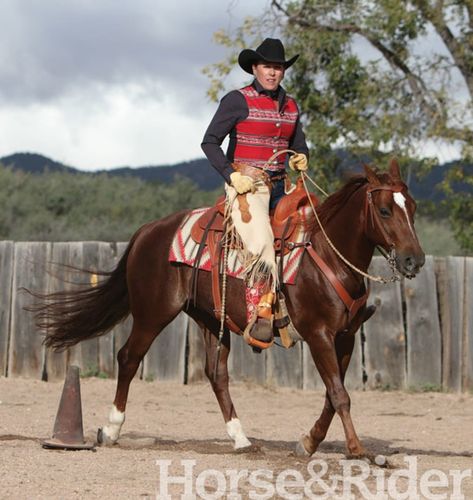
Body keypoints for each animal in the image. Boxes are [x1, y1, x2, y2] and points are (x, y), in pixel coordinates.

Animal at [30, 158, 424, 456]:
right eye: (385, 210)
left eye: (413, 208)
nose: (413, 260)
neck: (326, 253)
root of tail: (149, 230)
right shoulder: (319, 335)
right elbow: (340, 395)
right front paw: (358, 450)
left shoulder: (344, 337)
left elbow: (332, 395)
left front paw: (309, 442)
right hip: (153, 313)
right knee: (128, 358)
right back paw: (111, 430)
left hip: (208, 318)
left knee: (216, 373)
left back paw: (240, 438)